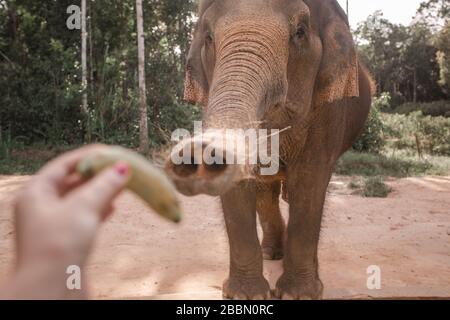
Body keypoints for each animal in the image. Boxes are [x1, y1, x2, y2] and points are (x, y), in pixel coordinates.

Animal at [165, 0, 372, 300]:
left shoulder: (330, 111)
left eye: (299, 32)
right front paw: (246, 296)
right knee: (267, 190)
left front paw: (298, 295)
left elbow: (309, 182)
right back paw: (271, 254)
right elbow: (240, 183)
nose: (196, 153)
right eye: (209, 37)